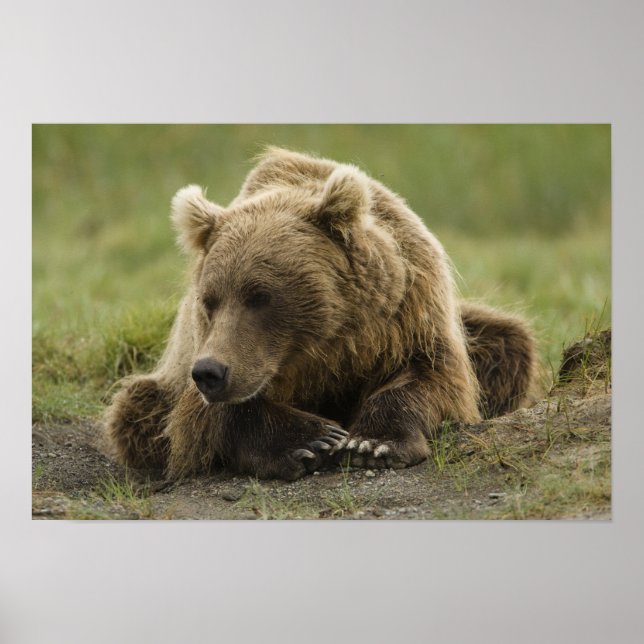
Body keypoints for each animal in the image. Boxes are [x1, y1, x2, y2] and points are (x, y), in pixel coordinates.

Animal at [104, 147, 536, 481]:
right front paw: (311, 441)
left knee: (508, 343)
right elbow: (203, 418)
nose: (211, 372)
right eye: (209, 300)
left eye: (259, 296)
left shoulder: (409, 314)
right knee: (136, 408)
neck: (324, 346)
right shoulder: (202, 356)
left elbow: (434, 377)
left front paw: (373, 443)